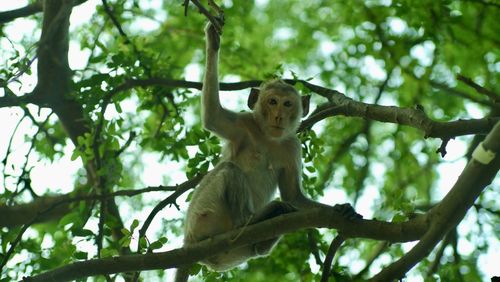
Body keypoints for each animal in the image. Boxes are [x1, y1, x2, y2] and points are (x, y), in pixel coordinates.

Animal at [174, 20, 362, 282]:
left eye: (287, 104)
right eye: (272, 102)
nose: (278, 116)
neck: (268, 138)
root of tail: (190, 244)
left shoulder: (292, 147)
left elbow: (294, 196)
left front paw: (342, 209)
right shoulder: (244, 124)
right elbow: (212, 116)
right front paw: (213, 41)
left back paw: (265, 235)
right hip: (201, 214)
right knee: (229, 170)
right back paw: (252, 219)